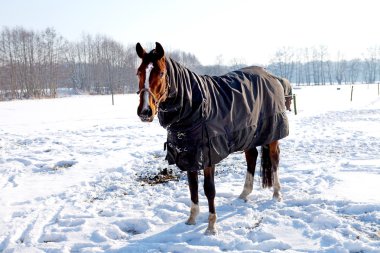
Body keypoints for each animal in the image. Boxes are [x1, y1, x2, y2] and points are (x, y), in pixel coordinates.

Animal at [135, 42, 290, 235]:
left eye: (161, 73)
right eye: (139, 72)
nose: (145, 111)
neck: (192, 107)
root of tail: (271, 76)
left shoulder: (208, 155)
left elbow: (209, 190)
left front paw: (211, 226)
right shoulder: (189, 154)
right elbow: (192, 187)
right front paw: (192, 219)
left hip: (272, 134)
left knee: (275, 160)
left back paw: (277, 193)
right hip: (249, 133)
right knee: (252, 157)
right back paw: (244, 194)